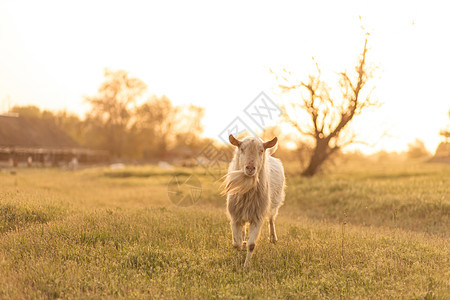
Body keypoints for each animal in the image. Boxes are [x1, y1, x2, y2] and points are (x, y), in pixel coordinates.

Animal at [224, 135, 284, 266]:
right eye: (241, 149)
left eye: (261, 150)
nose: (250, 168)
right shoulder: (235, 217)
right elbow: (236, 243)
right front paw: (238, 255)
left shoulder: (257, 218)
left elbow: (251, 245)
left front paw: (246, 266)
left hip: (274, 204)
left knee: (271, 219)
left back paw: (273, 238)